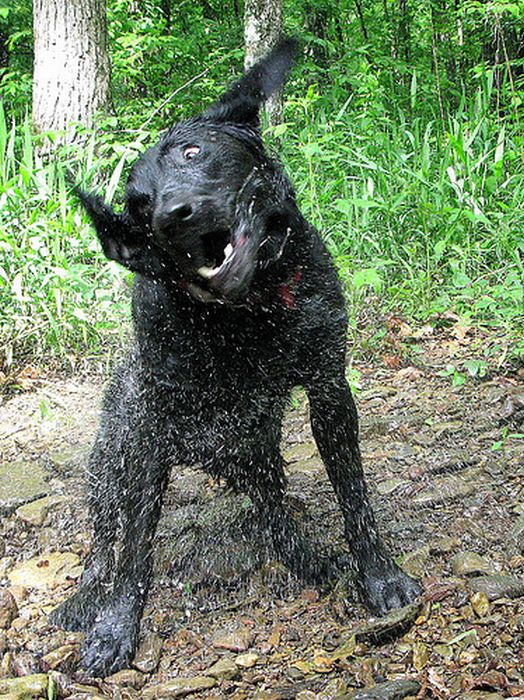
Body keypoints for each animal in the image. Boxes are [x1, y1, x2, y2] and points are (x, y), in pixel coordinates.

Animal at [51, 39, 420, 680]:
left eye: (192, 151)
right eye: (138, 204)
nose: (171, 214)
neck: (247, 314)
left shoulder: (329, 389)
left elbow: (354, 497)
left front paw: (378, 576)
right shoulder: (152, 427)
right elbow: (134, 551)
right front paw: (115, 627)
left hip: (258, 445)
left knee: (273, 509)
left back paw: (305, 555)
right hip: (115, 456)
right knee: (105, 539)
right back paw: (85, 597)